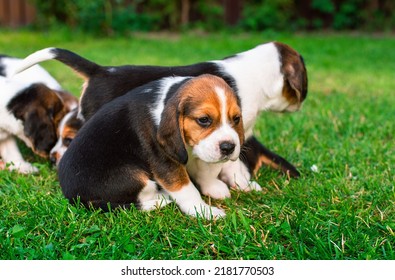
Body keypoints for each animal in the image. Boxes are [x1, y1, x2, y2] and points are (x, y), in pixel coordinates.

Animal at [58, 75, 244, 219]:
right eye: (204, 120)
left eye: (236, 118)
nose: (228, 147)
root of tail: (74, 198)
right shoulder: (165, 161)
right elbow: (186, 188)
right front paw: (203, 211)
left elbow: (204, 170)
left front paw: (212, 187)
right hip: (133, 177)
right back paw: (161, 198)